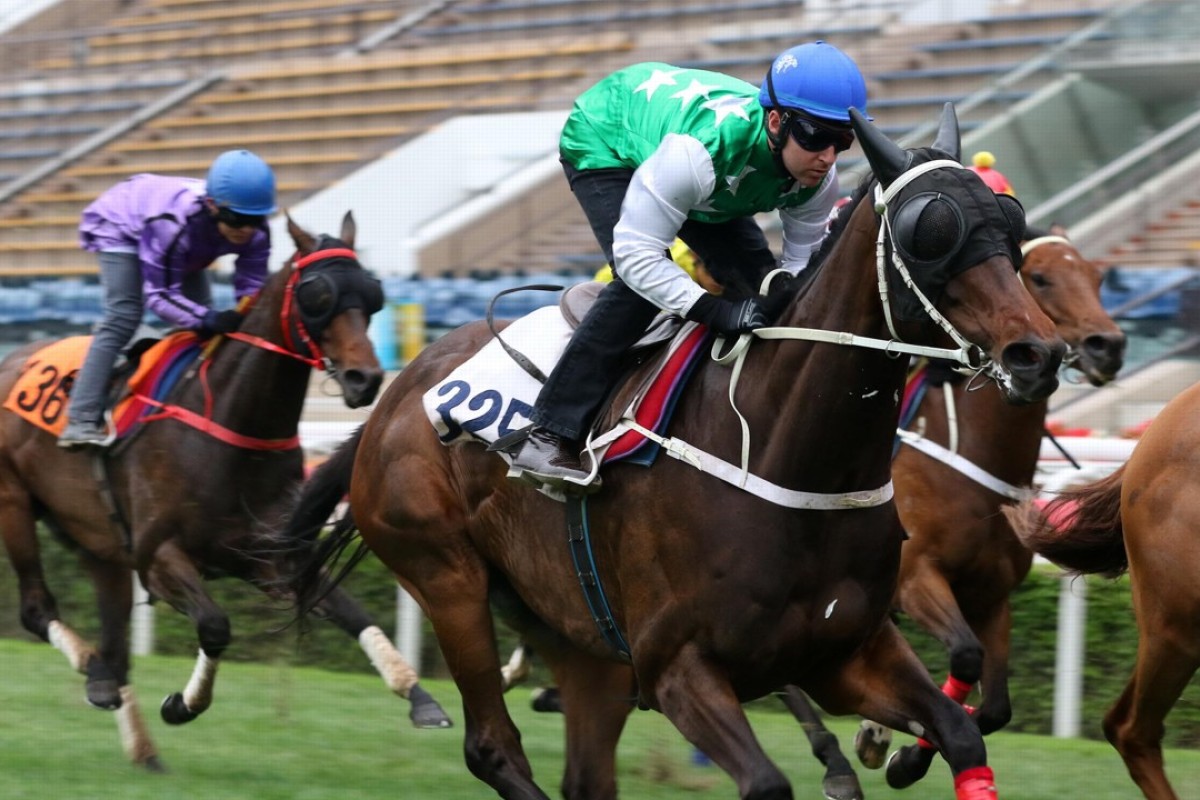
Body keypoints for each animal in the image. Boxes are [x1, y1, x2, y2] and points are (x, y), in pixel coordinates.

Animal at [0, 211, 448, 767]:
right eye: (316, 294)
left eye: (371, 293)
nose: (364, 378)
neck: (235, 429)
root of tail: (11, 358)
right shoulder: (159, 557)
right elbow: (216, 626)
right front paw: (182, 705)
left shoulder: (271, 557)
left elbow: (354, 613)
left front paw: (421, 697)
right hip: (14, 505)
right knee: (39, 610)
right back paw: (93, 668)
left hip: (100, 546)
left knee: (116, 646)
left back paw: (134, 735)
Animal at [295, 107, 1065, 800]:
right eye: (931, 229)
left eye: (1010, 223)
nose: (1039, 354)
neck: (790, 462)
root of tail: (398, 393)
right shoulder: (676, 668)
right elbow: (766, 783)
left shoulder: (846, 653)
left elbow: (963, 733)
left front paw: (892, 754)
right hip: (447, 577)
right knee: (491, 745)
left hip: (580, 641)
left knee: (585, 775)